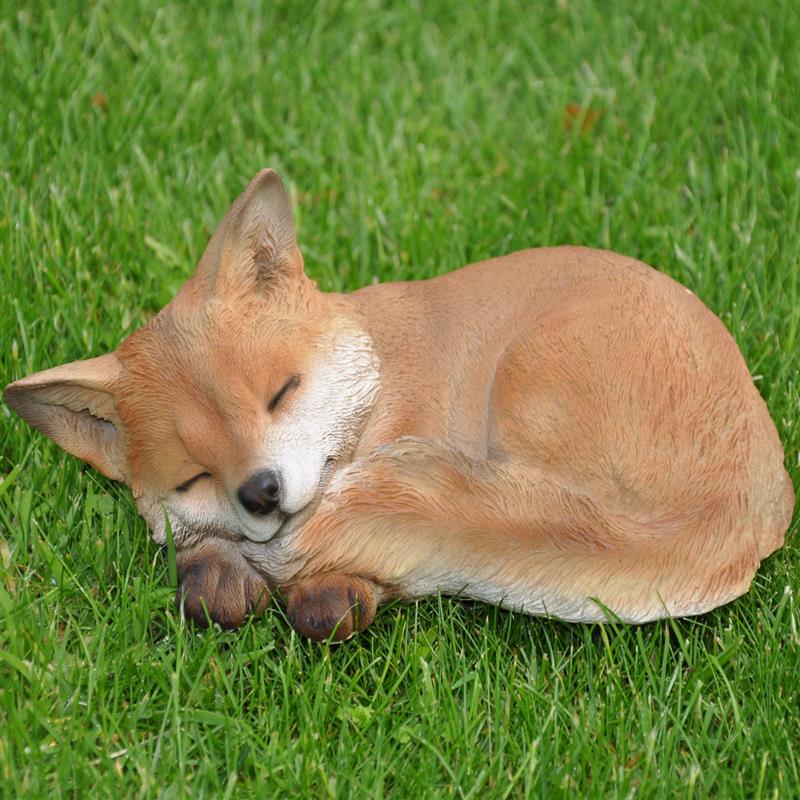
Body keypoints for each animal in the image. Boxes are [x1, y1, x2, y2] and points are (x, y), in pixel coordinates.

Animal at [4, 169, 795, 641]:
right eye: (194, 475)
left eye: (280, 393)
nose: (262, 493)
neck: (386, 383)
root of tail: (731, 509)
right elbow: (208, 575)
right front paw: (223, 573)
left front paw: (326, 588)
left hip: (527, 383)